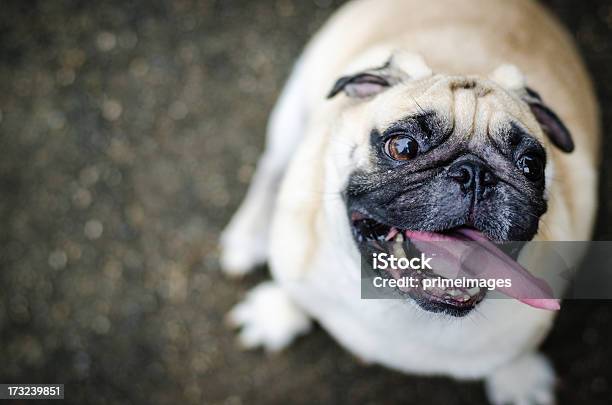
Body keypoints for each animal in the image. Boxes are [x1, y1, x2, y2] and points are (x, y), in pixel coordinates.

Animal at [219, 0, 596, 402]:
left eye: (530, 166)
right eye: (402, 147)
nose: (475, 174)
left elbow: (517, 351)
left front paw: (518, 378)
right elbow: (294, 288)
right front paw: (279, 312)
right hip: (291, 113)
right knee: (270, 167)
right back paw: (246, 240)